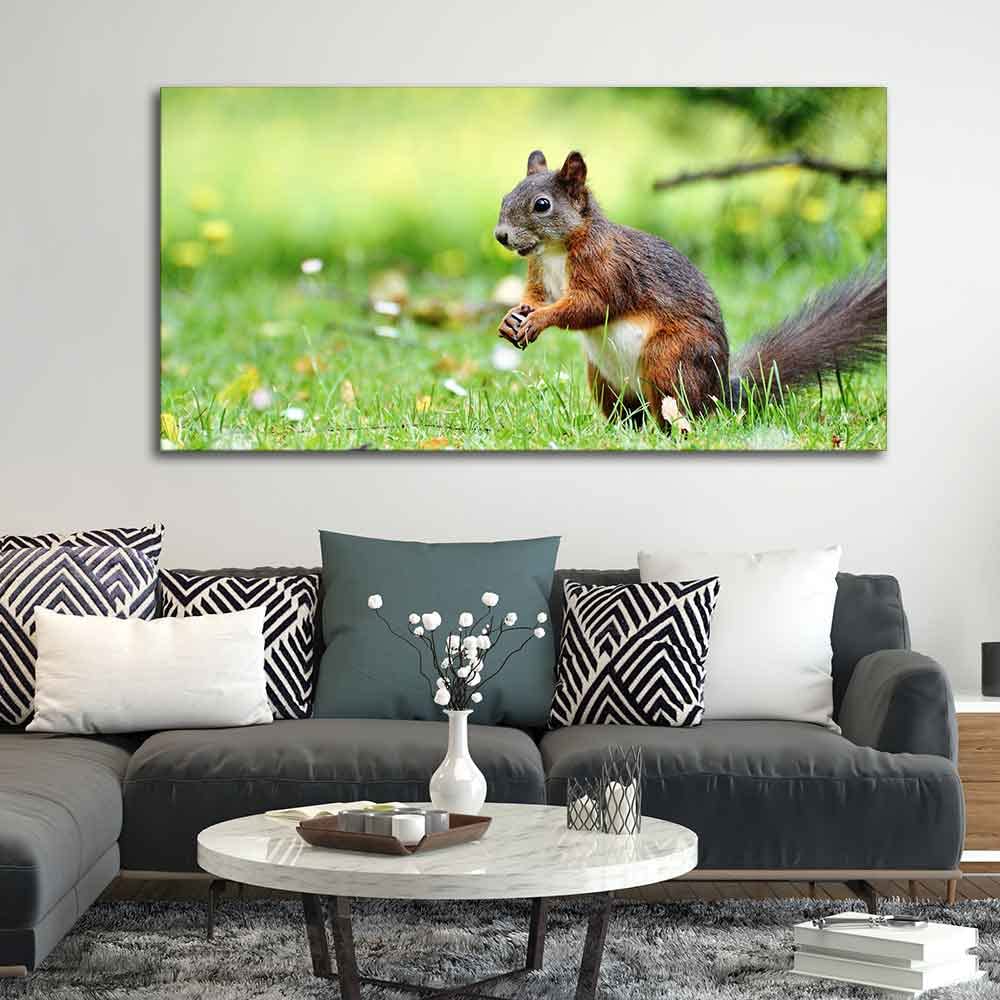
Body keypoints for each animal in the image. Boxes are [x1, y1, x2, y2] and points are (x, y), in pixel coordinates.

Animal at [494, 150, 886, 426]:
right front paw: (512, 317)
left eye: (542, 205)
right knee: (630, 415)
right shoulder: (539, 274)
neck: (555, 252)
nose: (501, 236)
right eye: (505, 198)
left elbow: (591, 305)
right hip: (603, 378)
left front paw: (539, 319)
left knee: (677, 409)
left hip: (669, 358)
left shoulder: (608, 270)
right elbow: (535, 297)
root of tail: (718, 393)